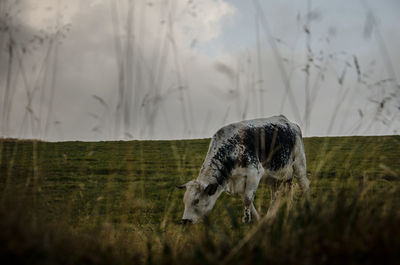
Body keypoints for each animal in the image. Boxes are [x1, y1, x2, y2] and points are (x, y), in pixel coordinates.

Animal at [177, 115, 310, 223]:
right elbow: (247, 201)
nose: (185, 221)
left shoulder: (254, 173)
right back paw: (273, 215)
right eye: (184, 201)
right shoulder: (239, 181)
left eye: (197, 201)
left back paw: (307, 208)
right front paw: (257, 220)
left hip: (299, 162)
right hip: (276, 176)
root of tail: (289, 122)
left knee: (304, 184)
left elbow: (247, 199)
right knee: (277, 195)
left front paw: (246, 220)